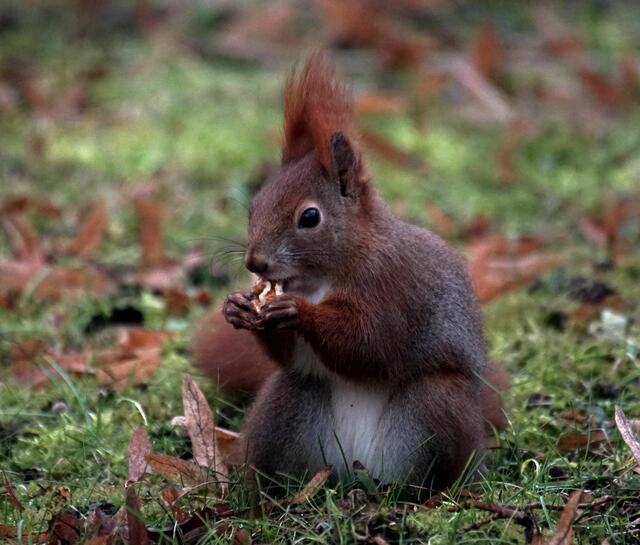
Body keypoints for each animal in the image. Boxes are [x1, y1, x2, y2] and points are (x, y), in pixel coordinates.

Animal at [195, 53, 508, 494]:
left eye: (310, 217)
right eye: (254, 205)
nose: (255, 264)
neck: (322, 277)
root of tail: (356, 471)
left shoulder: (398, 287)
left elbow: (372, 342)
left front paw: (299, 313)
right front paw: (238, 306)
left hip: (438, 406)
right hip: (285, 406)